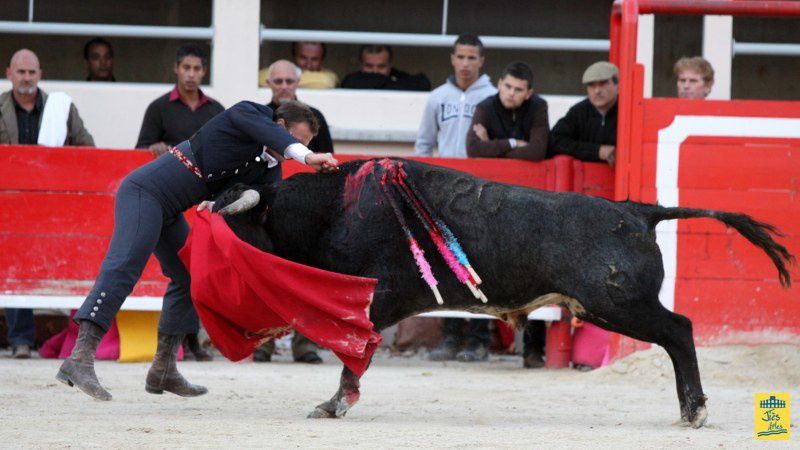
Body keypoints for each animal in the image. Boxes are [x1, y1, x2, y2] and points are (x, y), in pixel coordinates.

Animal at [214, 158, 792, 428]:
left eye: (236, 227)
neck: (333, 208)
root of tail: (637, 210)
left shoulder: (373, 303)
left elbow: (351, 354)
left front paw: (333, 405)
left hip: (617, 303)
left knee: (679, 330)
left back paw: (694, 411)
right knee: (677, 332)